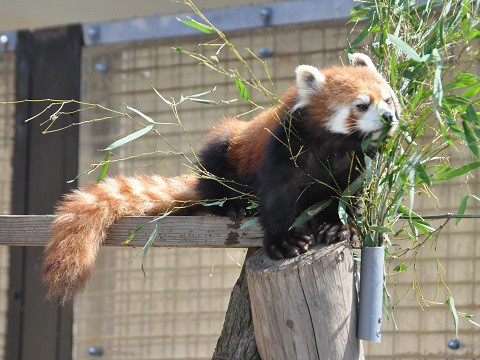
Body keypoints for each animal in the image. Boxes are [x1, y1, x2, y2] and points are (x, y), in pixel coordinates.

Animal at [43, 52, 400, 300]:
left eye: (388, 98)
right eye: (361, 105)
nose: (389, 116)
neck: (334, 145)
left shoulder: (356, 164)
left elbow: (346, 198)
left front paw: (339, 227)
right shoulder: (283, 146)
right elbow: (277, 197)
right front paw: (284, 241)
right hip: (224, 151)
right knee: (215, 180)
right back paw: (232, 206)